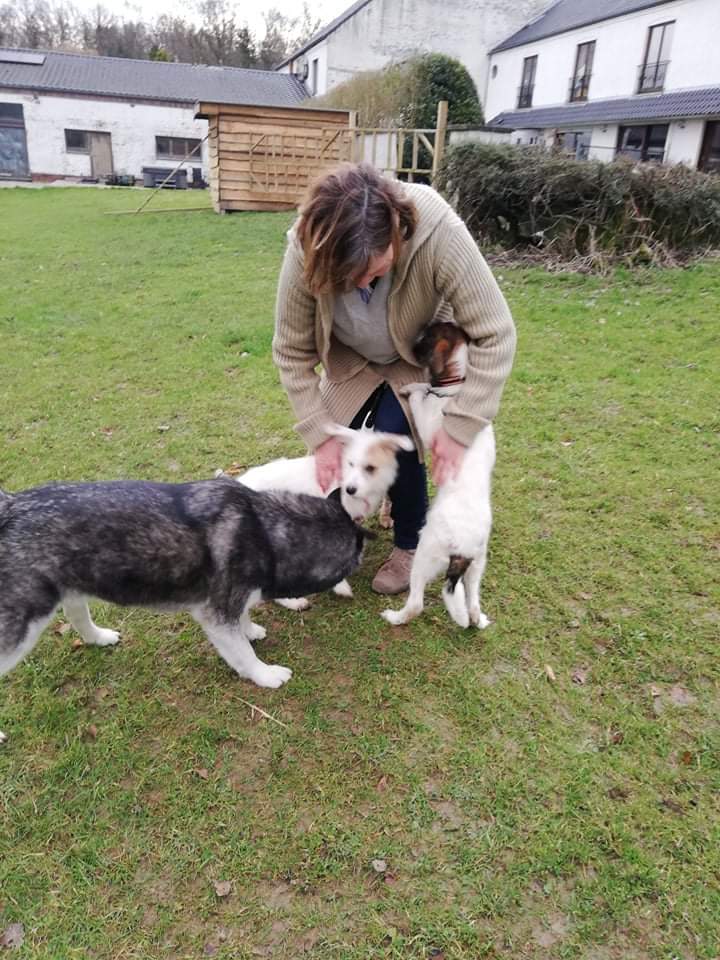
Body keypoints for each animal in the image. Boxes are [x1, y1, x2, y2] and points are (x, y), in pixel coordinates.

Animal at [0, 478, 372, 744]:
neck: (265, 531)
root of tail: (10, 506)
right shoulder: (215, 614)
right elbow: (242, 653)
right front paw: (263, 674)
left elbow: (243, 618)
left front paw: (250, 628)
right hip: (19, 628)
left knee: (78, 616)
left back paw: (99, 638)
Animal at [382, 324, 496, 632]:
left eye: (428, 335)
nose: (410, 341)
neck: (455, 387)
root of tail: (463, 549)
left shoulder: (425, 421)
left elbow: (420, 395)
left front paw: (410, 388)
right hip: (477, 566)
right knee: (472, 604)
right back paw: (477, 619)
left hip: (424, 555)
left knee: (416, 605)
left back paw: (394, 617)